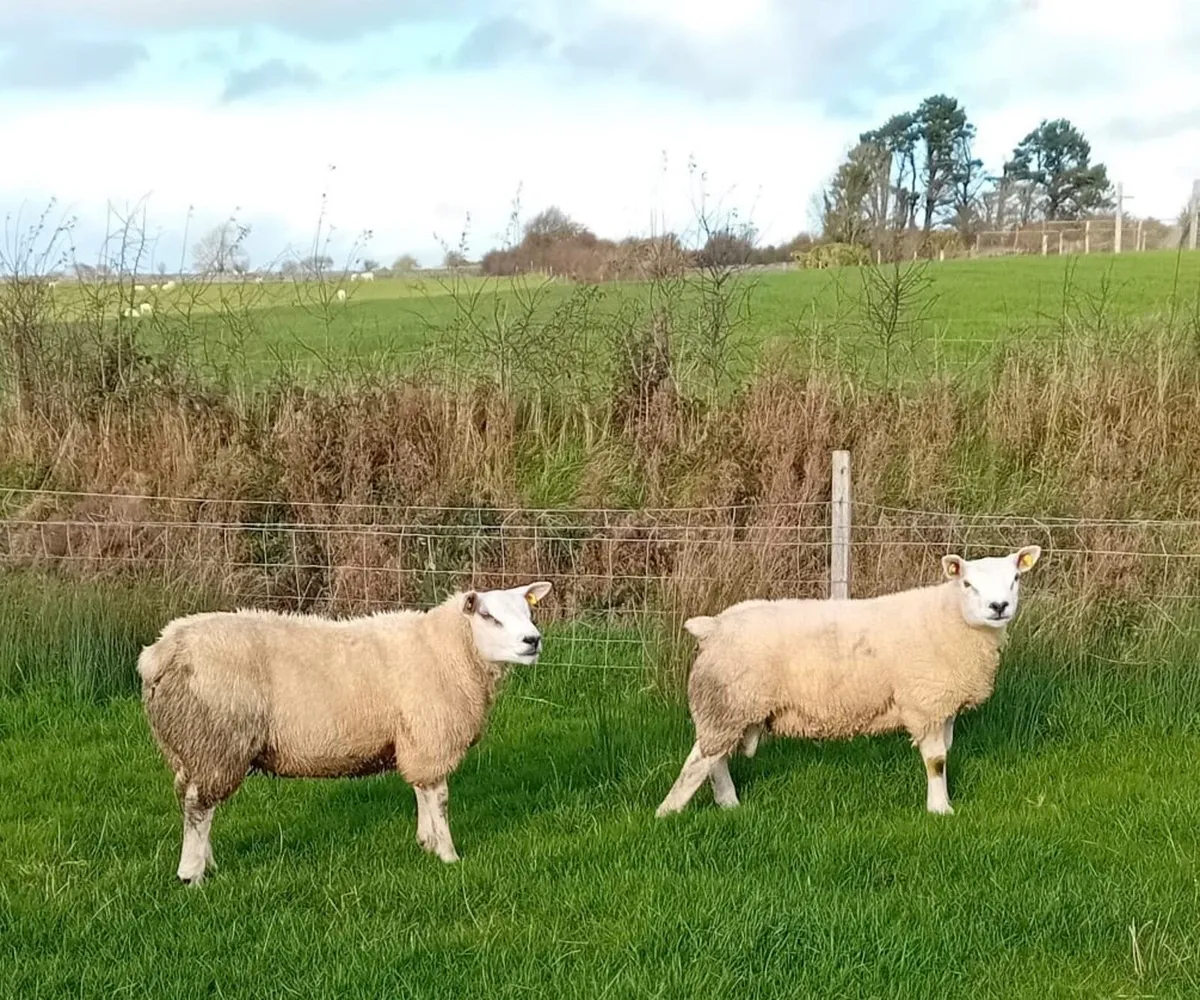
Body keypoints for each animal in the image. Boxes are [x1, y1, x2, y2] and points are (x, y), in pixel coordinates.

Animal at [138, 581, 552, 884]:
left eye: (529, 611)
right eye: (488, 615)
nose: (533, 641)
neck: (448, 650)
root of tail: (160, 653)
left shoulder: (416, 738)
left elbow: (420, 790)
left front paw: (425, 842)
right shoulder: (432, 734)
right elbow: (440, 798)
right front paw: (448, 854)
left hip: (188, 746)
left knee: (190, 800)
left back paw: (206, 861)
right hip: (215, 740)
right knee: (199, 806)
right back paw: (191, 874)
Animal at [656, 546, 1043, 819]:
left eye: (1015, 579)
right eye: (967, 583)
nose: (998, 606)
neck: (950, 619)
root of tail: (713, 626)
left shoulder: (942, 705)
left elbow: (945, 753)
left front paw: (941, 801)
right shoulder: (924, 701)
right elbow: (936, 760)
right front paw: (940, 810)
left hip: (730, 706)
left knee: (715, 758)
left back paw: (728, 803)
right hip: (728, 702)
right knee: (700, 761)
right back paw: (669, 811)